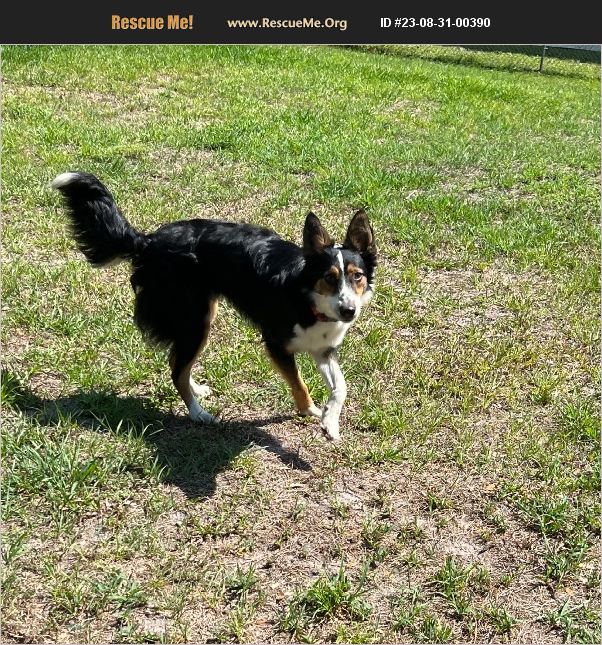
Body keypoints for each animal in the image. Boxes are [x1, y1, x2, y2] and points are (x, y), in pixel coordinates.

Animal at [51, 171, 377, 442]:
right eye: (329, 278)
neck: (307, 298)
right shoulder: (276, 345)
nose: (349, 311)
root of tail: (149, 240)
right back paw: (199, 414)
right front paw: (310, 410)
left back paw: (196, 389)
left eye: (357, 276)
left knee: (177, 363)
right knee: (177, 370)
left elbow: (340, 388)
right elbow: (299, 383)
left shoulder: (323, 349)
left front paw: (330, 422)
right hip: (197, 319)